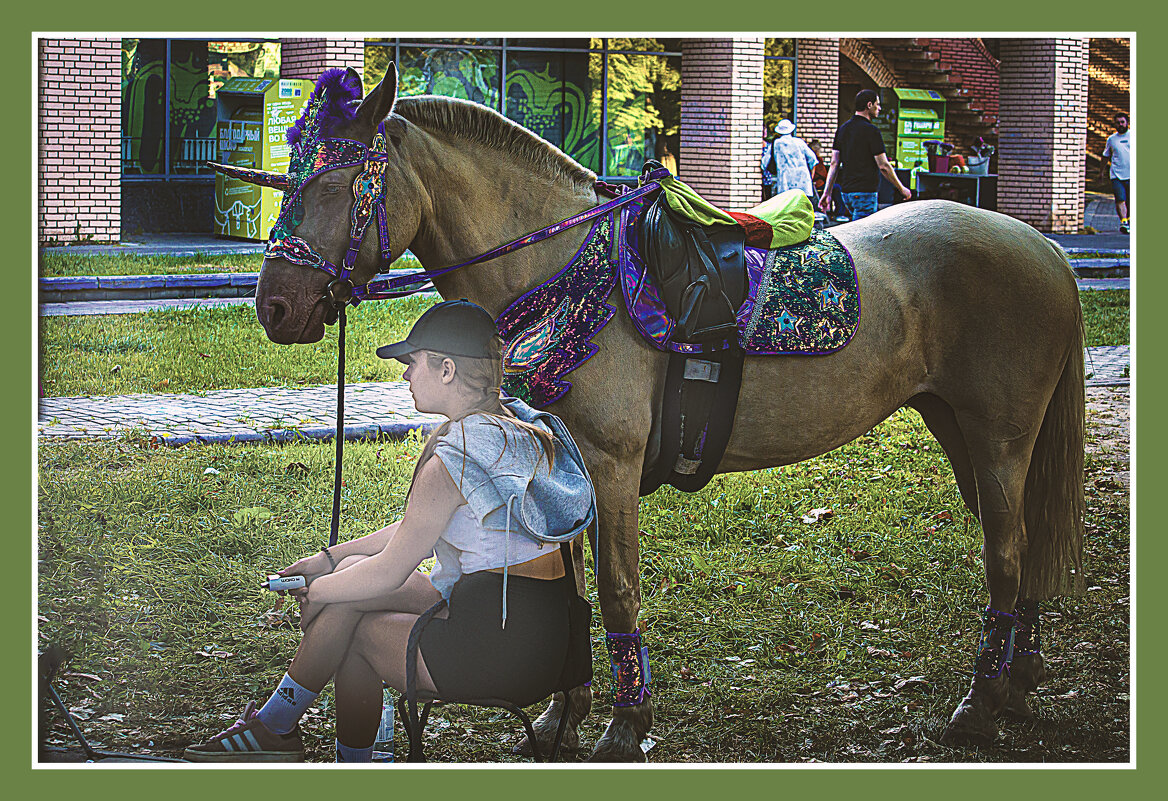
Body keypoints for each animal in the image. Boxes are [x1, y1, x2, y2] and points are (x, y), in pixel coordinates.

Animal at [244, 65, 1083, 761]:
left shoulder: (610, 466)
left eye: (335, 184)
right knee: (1019, 544)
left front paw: (624, 724)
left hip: (998, 438)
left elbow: (617, 587)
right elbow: (575, 589)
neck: (566, 270)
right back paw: (1020, 677)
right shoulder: (564, 468)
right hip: (962, 431)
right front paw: (562, 713)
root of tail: (1042, 247)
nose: (275, 307)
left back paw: (982, 700)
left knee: (1006, 554)